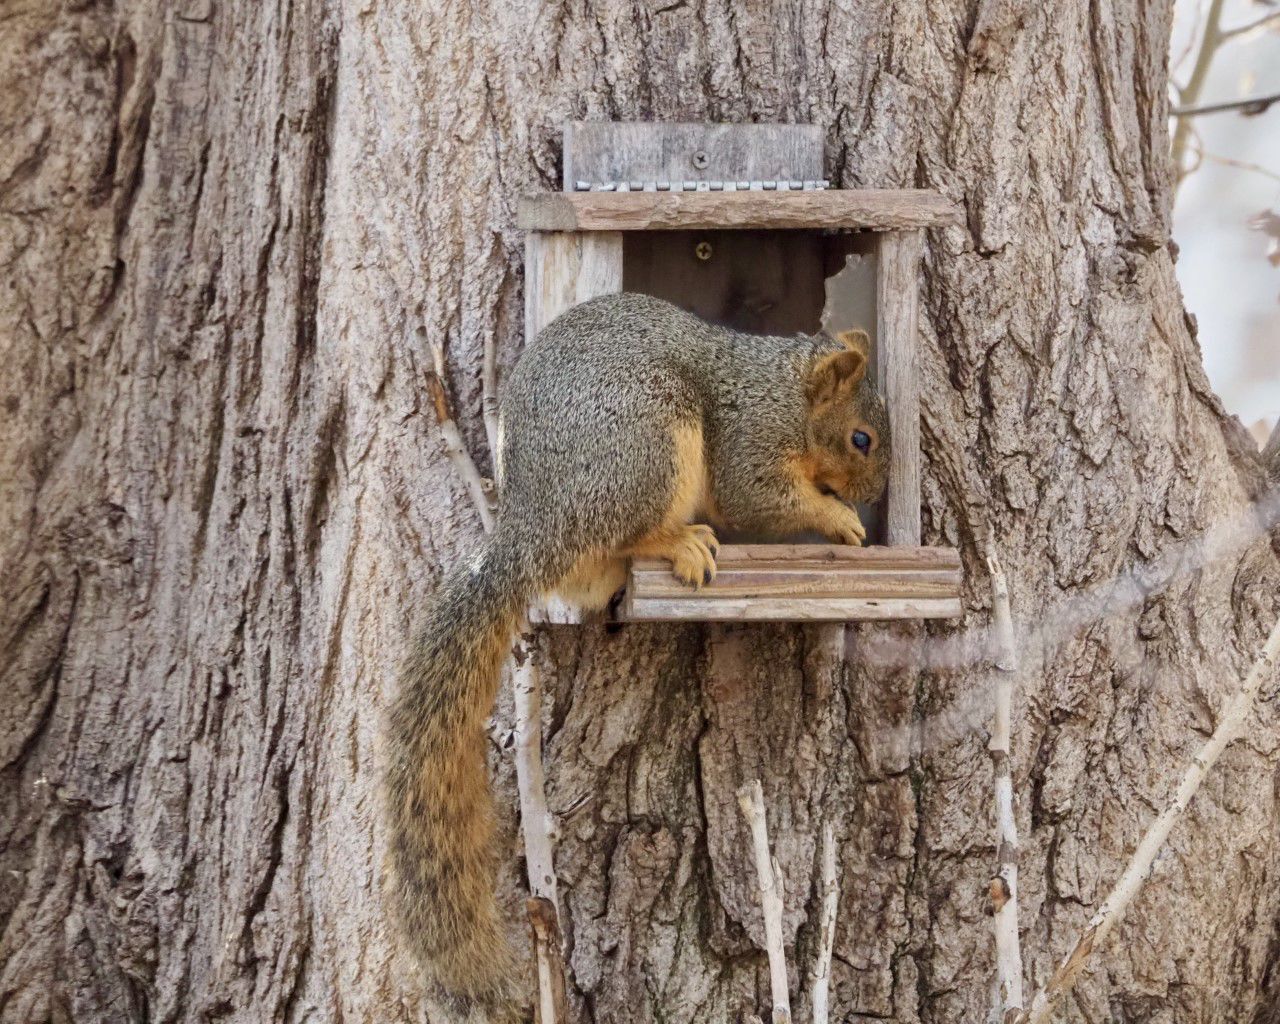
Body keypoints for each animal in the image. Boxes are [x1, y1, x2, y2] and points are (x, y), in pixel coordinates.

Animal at [385, 291, 890, 1021]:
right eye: (861, 438)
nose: (877, 497)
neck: (782, 392)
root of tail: (530, 531)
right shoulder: (750, 443)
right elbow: (761, 499)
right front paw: (839, 519)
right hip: (649, 443)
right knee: (634, 528)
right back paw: (678, 541)